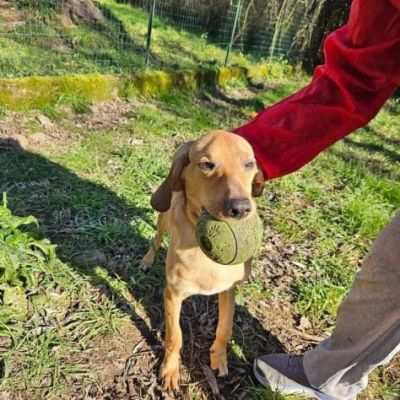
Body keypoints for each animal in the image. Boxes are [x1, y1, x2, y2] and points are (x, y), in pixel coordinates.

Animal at [142, 130, 264, 390]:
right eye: (207, 165)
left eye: (249, 164)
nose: (241, 208)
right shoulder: (173, 294)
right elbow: (175, 336)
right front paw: (170, 370)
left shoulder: (228, 291)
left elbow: (225, 329)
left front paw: (219, 359)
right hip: (164, 217)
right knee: (156, 238)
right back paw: (147, 260)